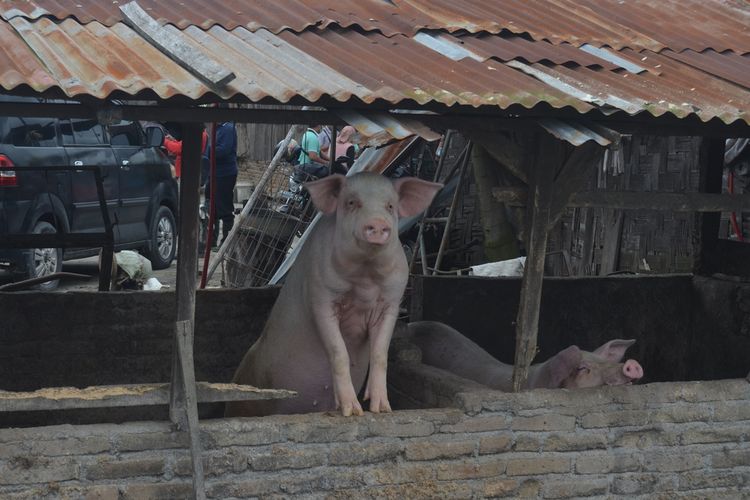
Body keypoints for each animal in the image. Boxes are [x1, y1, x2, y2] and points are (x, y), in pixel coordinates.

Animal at [226, 174, 444, 416]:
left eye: (390, 206)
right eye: (351, 202)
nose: (378, 223)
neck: (365, 278)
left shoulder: (391, 303)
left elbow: (380, 354)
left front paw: (382, 410)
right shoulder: (320, 297)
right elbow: (339, 352)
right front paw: (352, 412)